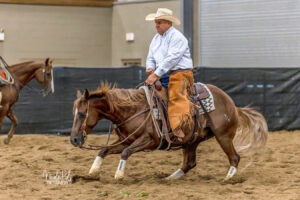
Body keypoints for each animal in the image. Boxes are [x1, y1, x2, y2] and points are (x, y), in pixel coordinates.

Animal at [70, 83, 268, 181]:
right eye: (74, 112)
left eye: (82, 113)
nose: (74, 140)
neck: (133, 109)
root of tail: (232, 105)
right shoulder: (127, 140)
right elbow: (103, 150)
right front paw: (92, 172)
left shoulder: (149, 140)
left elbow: (125, 153)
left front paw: (119, 175)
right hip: (191, 140)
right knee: (189, 163)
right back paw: (169, 178)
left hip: (223, 136)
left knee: (235, 157)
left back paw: (228, 179)